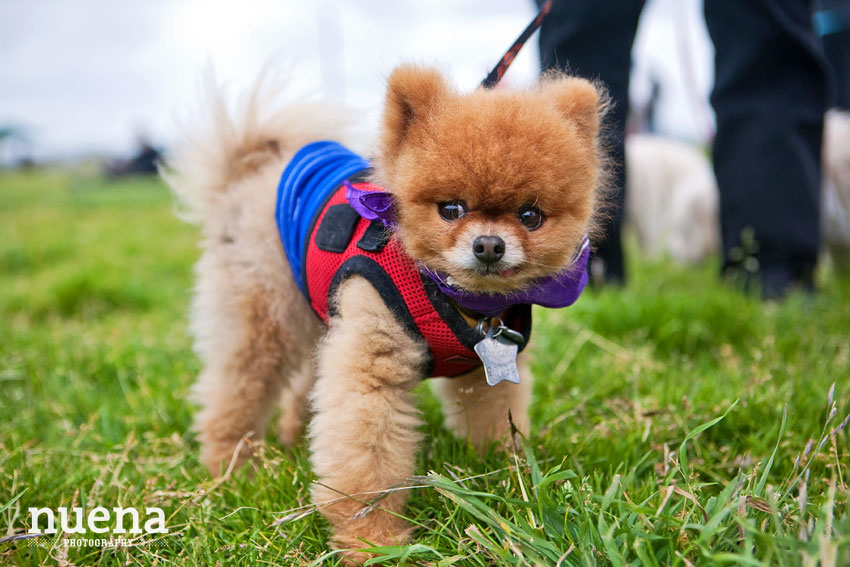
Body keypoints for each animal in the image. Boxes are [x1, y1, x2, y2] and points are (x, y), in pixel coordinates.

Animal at [164, 64, 604, 560]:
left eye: (530, 216)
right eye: (451, 209)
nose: (489, 245)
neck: (457, 298)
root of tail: (245, 177)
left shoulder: (485, 369)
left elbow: (493, 418)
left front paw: (506, 477)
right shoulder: (370, 365)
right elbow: (366, 461)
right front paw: (374, 542)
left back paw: (290, 436)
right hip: (265, 315)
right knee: (236, 388)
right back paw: (233, 467)